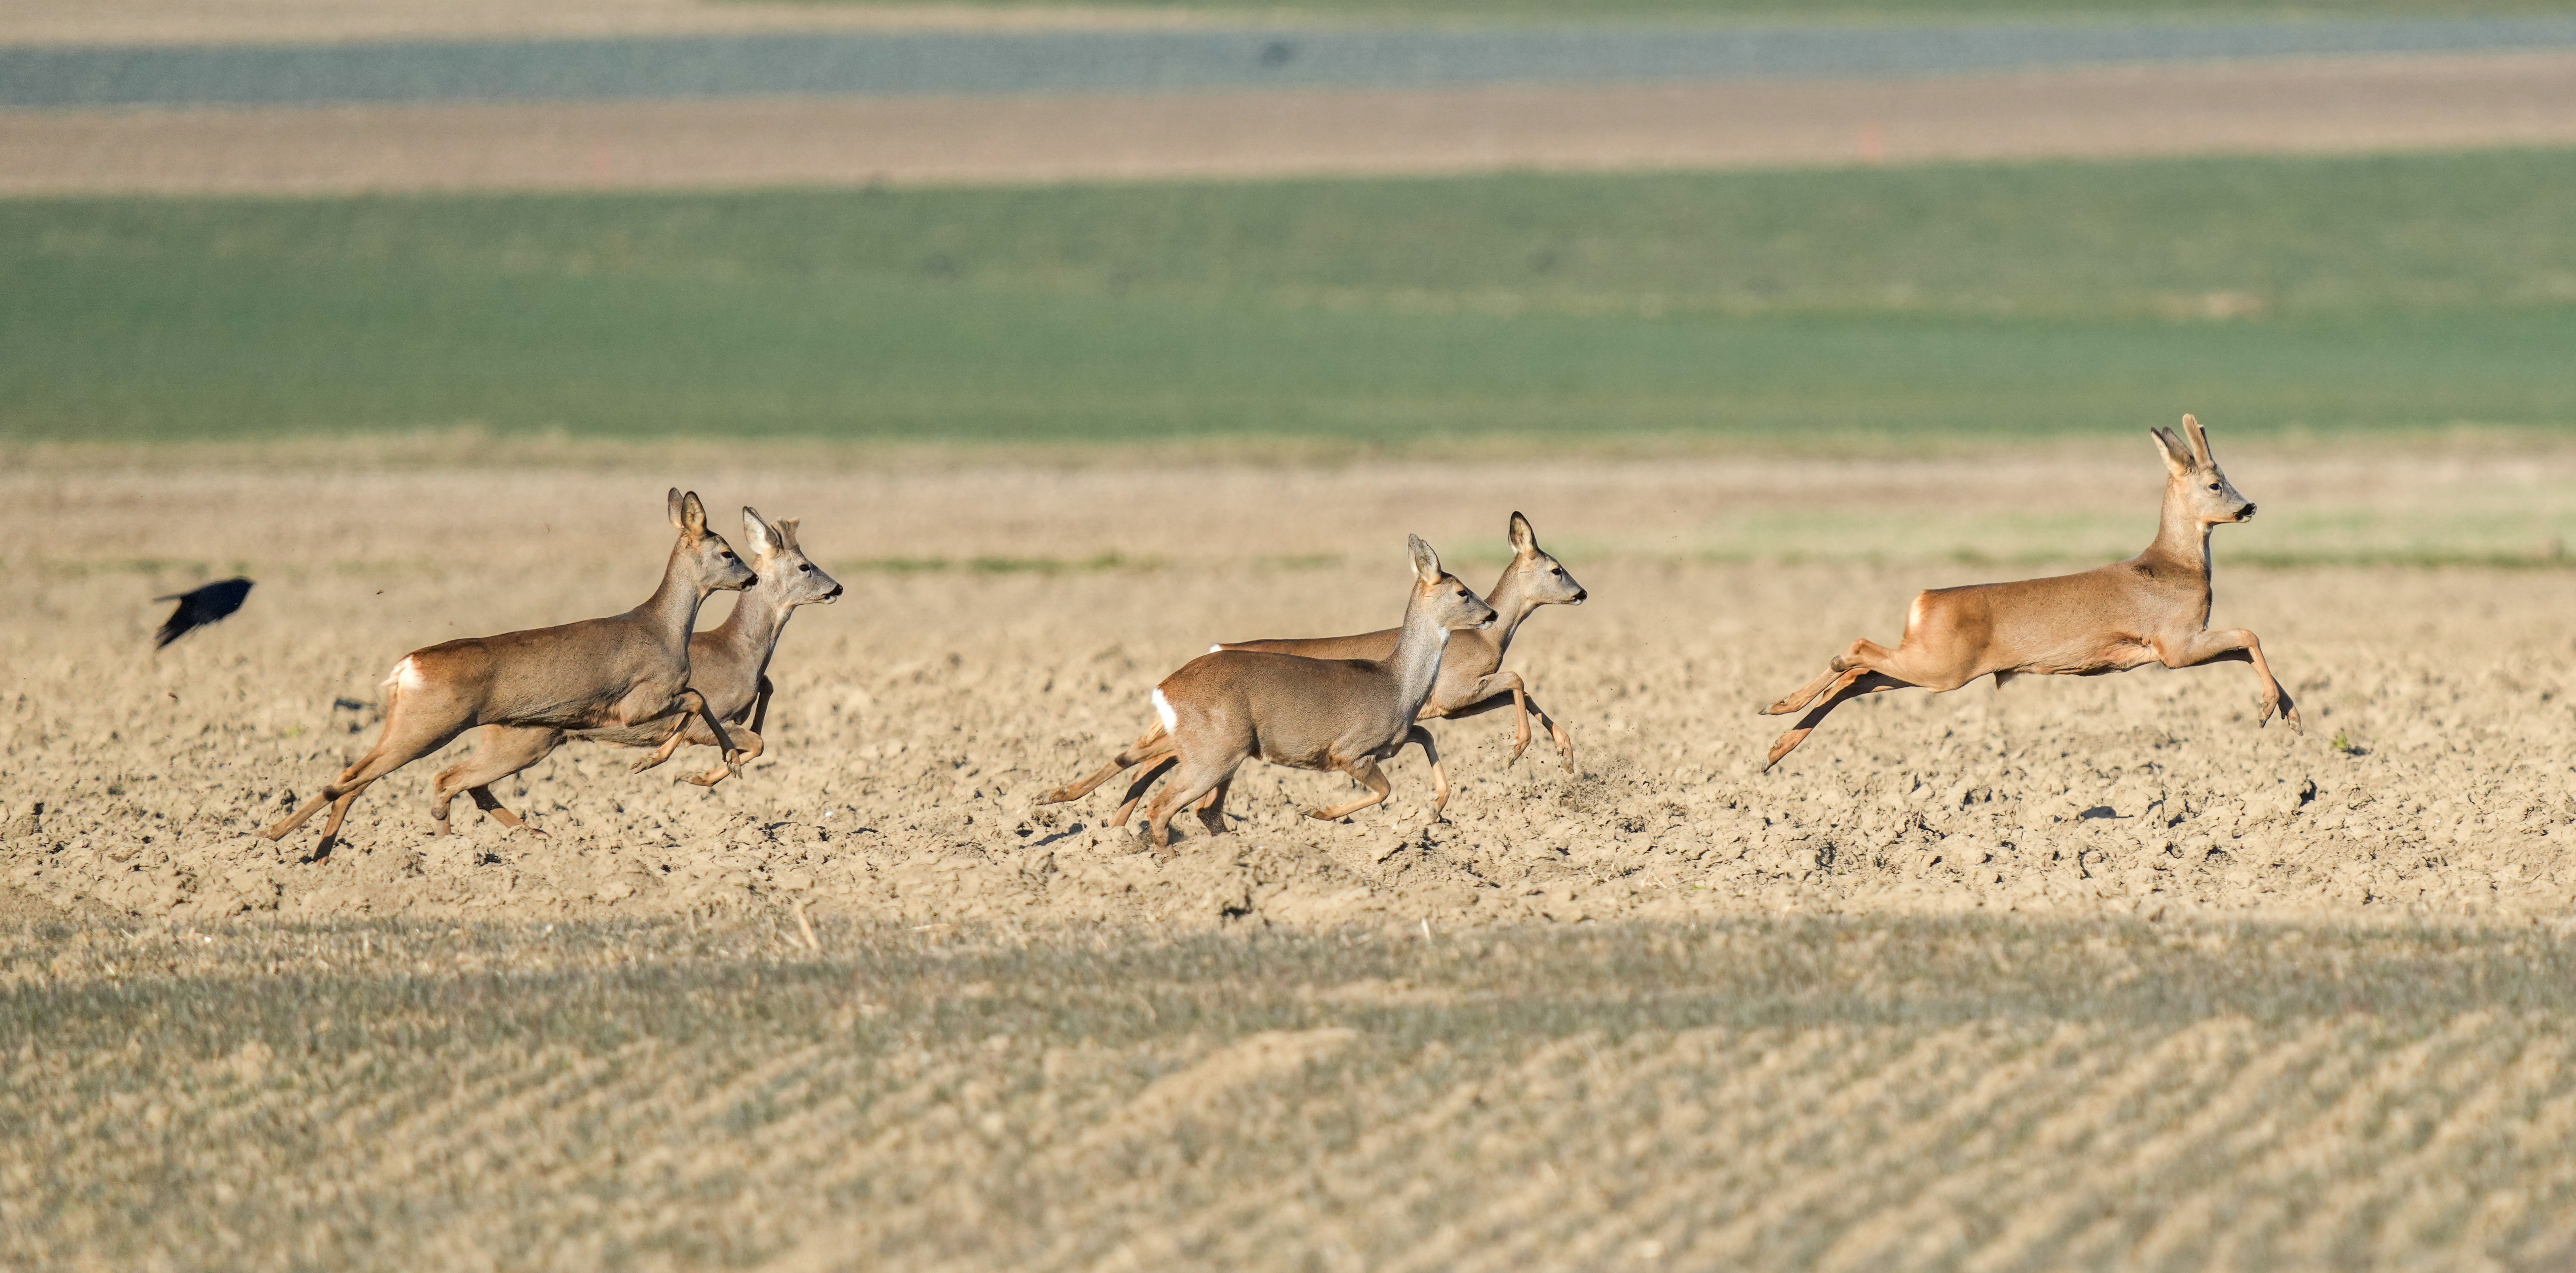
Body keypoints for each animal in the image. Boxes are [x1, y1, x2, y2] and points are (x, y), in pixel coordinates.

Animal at [265, 492, 757, 850]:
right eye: (727, 552)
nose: (752, 577)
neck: (667, 627)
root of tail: (406, 667)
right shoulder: (639, 702)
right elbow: (698, 699)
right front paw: (663, 762)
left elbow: (702, 703)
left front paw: (721, 763)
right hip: (431, 726)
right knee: (377, 779)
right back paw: (276, 834)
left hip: (460, 730)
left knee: (377, 777)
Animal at [432, 507, 845, 835]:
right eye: (805, 566)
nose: (838, 587)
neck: (741, 652)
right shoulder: (708, 723)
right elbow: (754, 742)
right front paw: (693, 776)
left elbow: (759, 730)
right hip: (522, 740)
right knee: (455, 778)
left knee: (472, 784)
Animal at [1762, 415, 2308, 768]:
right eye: (2216, 484)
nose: (2249, 506)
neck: (2175, 565)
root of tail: (1923, 601)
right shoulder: (2173, 642)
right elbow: (2250, 634)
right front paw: (2270, 708)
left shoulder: (2178, 643)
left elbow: (2244, 646)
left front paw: (2290, 714)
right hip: (1941, 666)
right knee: (1856, 653)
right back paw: (1786, 711)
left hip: (1928, 662)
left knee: (1858, 678)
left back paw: (1777, 736)